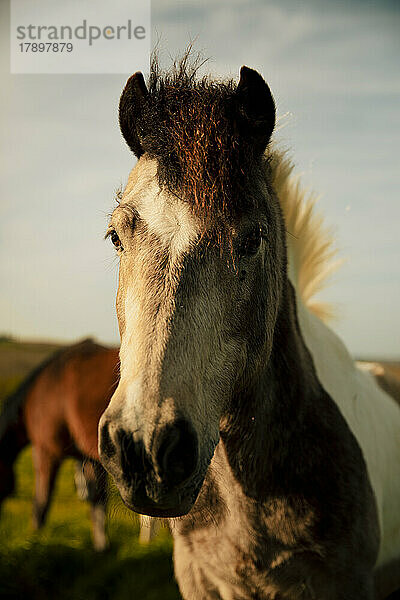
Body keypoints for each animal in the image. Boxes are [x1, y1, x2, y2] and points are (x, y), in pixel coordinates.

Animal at [0, 340, 118, 552]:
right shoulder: (89, 458)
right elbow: (97, 500)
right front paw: (101, 545)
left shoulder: (46, 452)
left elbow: (42, 501)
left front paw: (34, 540)